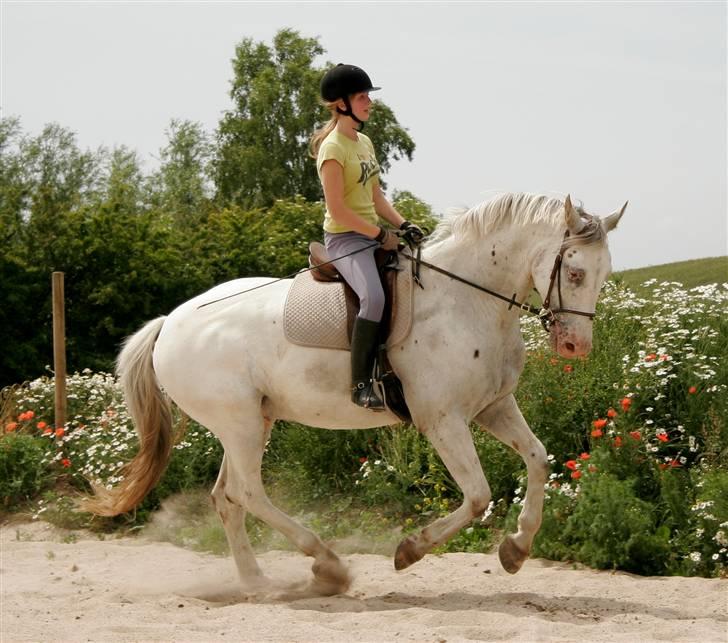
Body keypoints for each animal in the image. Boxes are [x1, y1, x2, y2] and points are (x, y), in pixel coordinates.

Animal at [86, 192, 624, 600]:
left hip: (252, 422)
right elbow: (477, 496)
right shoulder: (443, 420)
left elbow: (538, 459)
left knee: (228, 498)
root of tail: (169, 323)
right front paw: (409, 551)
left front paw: (516, 549)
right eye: (575, 273)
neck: (465, 300)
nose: (576, 347)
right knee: (248, 493)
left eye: (604, 274)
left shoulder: (493, 406)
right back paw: (327, 565)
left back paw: (259, 582)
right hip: (239, 424)